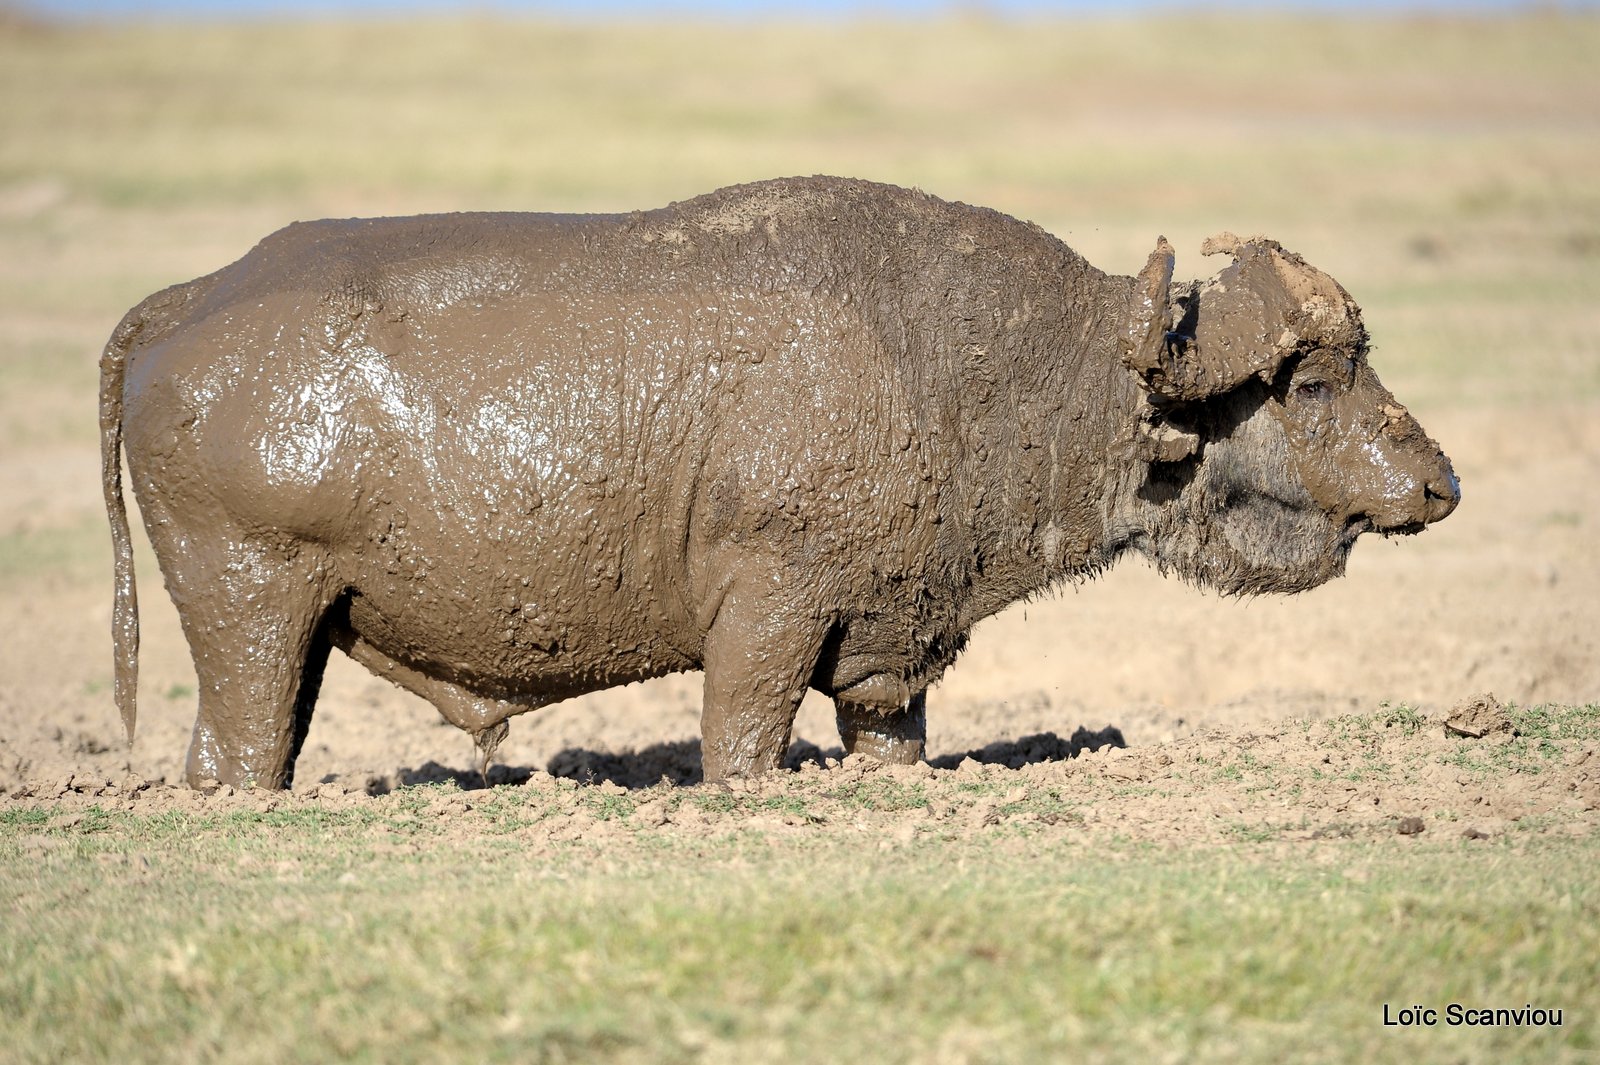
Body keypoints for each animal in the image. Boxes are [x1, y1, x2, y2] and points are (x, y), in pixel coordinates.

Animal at [96, 175, 1452, 786]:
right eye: (1313, 381)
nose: (1436, 483)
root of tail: (191, 299)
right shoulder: (769, 616)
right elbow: (742, 741)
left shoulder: (891, 647)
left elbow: (888, 737)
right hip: (254, 617)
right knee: (239, 747)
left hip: (294, 634)